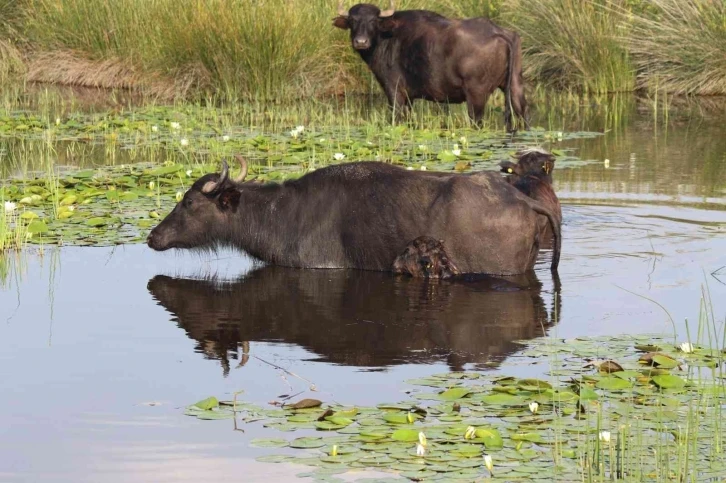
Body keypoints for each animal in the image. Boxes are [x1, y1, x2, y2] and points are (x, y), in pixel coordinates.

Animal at [334, 0, 528, 131]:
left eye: (373, 21)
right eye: (352, 20)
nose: (361, 42)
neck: (386, 37)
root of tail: (497, 32)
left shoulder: (394, 91)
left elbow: (397, 118)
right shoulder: (409, 98)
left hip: (476, 94)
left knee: (477, 121)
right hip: (515, 85)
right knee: (522, 112)